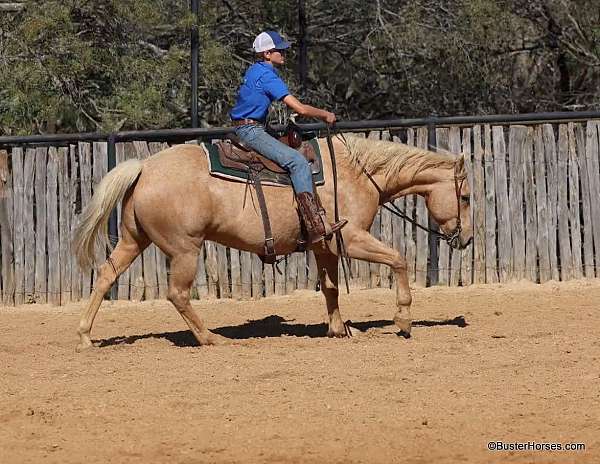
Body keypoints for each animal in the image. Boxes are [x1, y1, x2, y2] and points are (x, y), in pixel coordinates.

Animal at [72, 134, 472, 352]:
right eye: (466, 197)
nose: (466, 239)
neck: (358, 173)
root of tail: (144, 169)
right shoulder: (351, 238)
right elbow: (398, 259)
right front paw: (403, 320)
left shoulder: (323, 245)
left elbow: (330, 288)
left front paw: (340, 329)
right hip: (186, 249)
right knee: (177, 294)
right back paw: (211, 338)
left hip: (132, 240)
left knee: (106, 275)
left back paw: (85, 336)